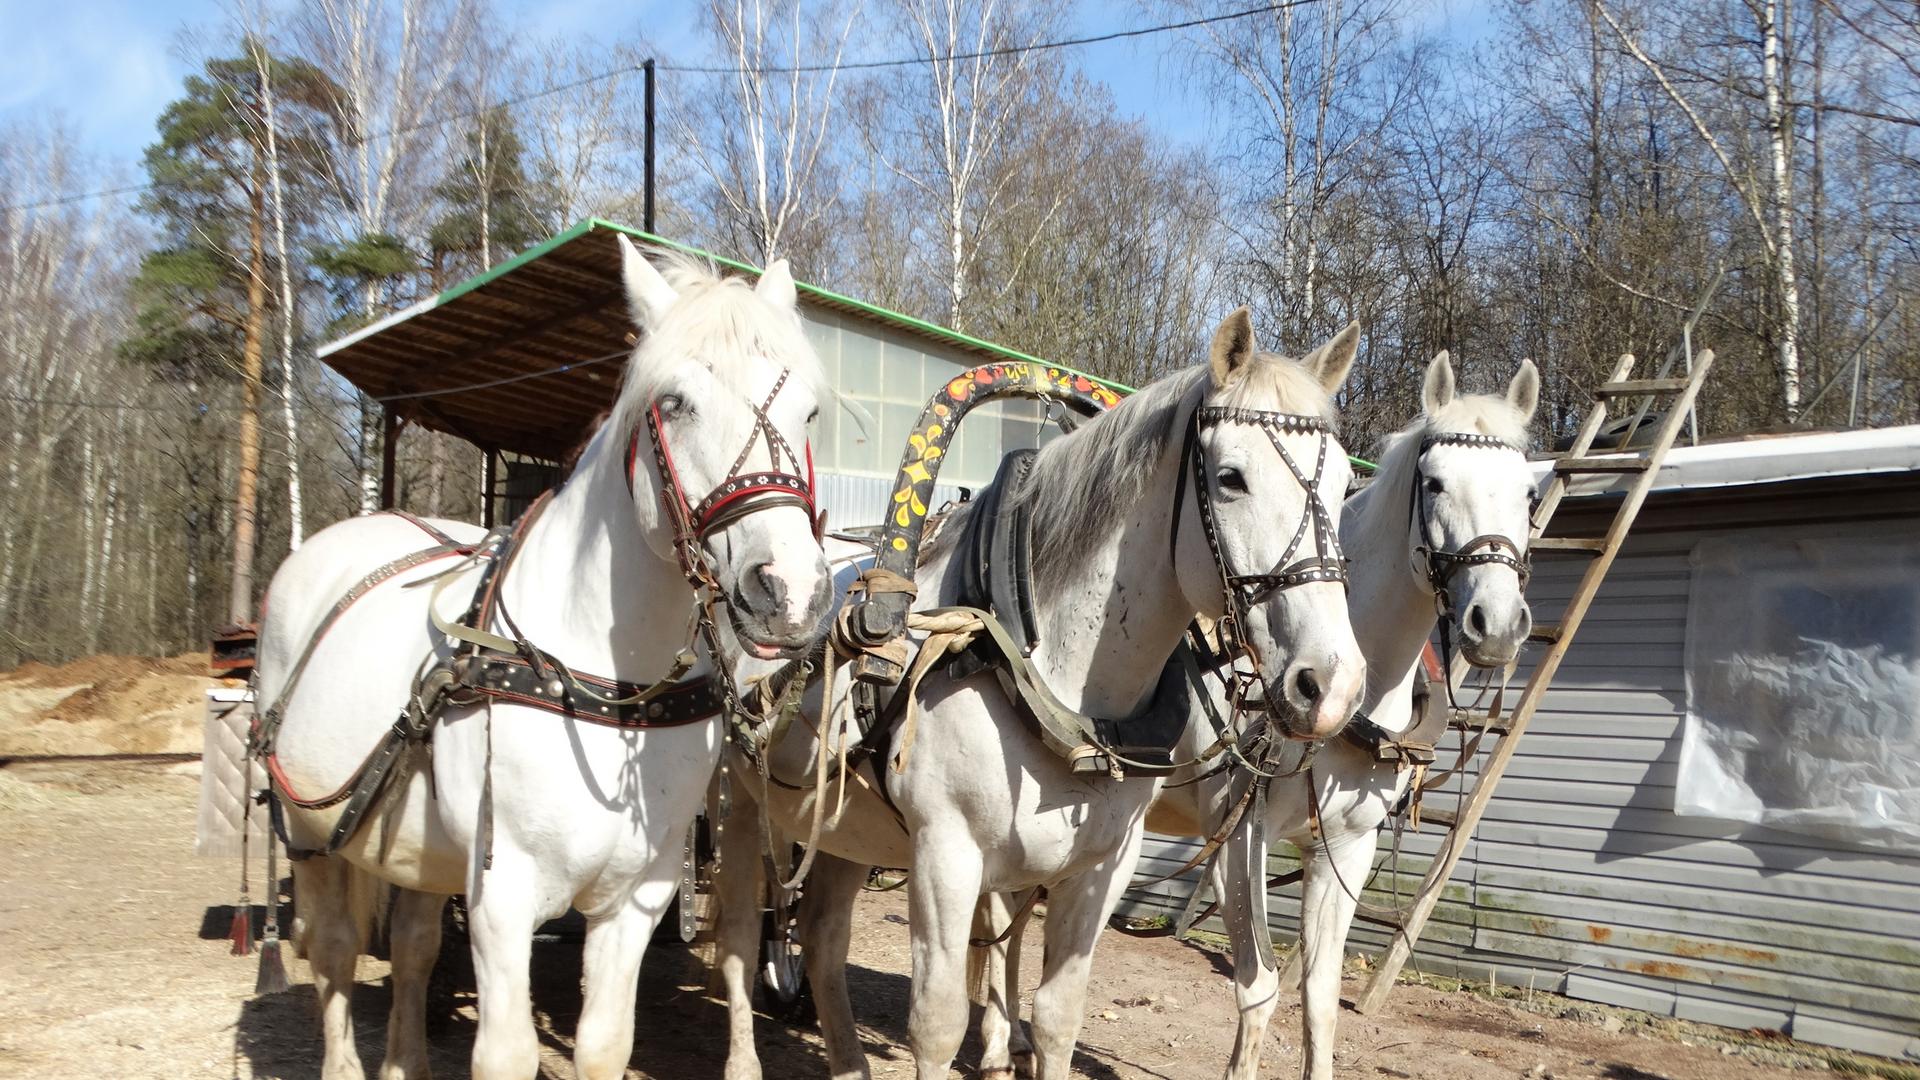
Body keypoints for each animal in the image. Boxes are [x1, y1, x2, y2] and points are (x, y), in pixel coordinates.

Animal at [253, 239, 833, 1076]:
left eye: (808, 411)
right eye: (676, 402)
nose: (788, 593)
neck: (606, 688)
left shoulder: (635, 897)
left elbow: (603, 1044)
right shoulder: (502, 898)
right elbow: (505, 1052)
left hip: (414, 852)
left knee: (415, 946)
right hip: (308, 831)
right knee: (332, 952)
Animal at [718, 311, 1367, 1076]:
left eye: (1345, 484)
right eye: (1230, 478)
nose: (1330, 684)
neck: (1037, 666)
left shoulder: (1101, 869)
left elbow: (1056, 1018)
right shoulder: (945, 856)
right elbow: (937, 1024)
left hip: (846, 828)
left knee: (822, 938)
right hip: (739, 800)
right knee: (737, 938)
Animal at [990, 353, 1543, 1076]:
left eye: (1530, 496)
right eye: (1435, 482)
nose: (1497, 627)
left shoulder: (1347, 846)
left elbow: (1319, 996)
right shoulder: (1238, 839)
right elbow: (1259, 991)